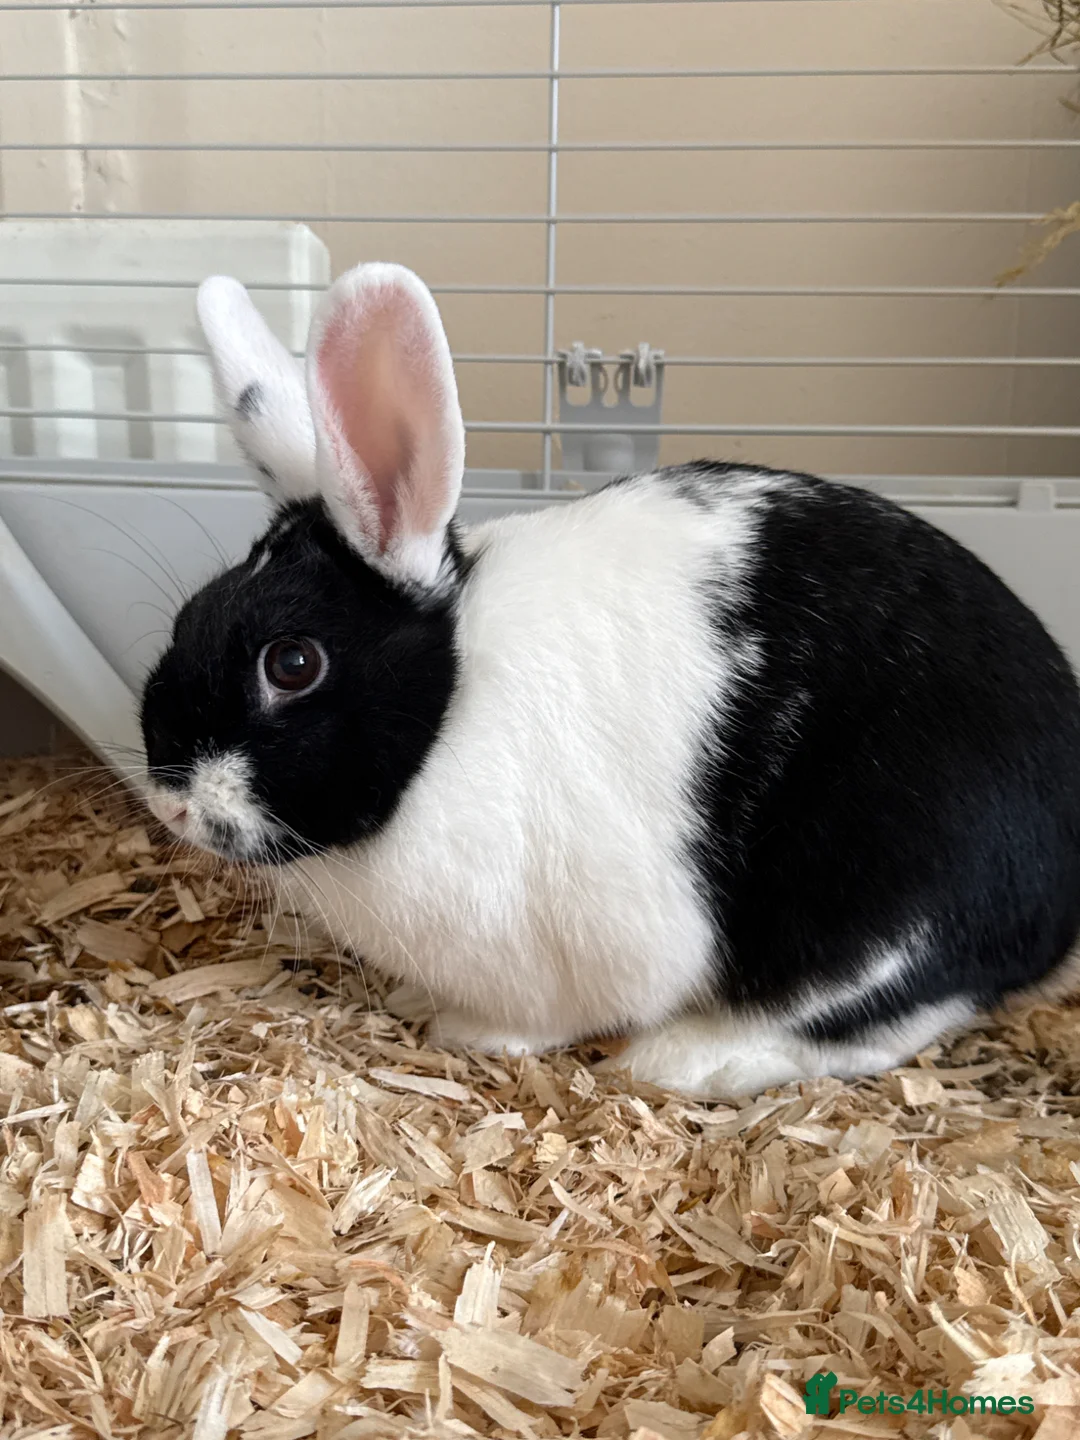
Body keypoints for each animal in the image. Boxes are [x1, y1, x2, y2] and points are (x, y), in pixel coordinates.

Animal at [139, 260, 1080, 1100]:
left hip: (873, 911)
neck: (447, 720)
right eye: (187, 617)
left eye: (292, 664)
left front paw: (468, 1031)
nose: (171, 800)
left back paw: (691, 1061)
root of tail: (1054, 909)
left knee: (882, 1017)